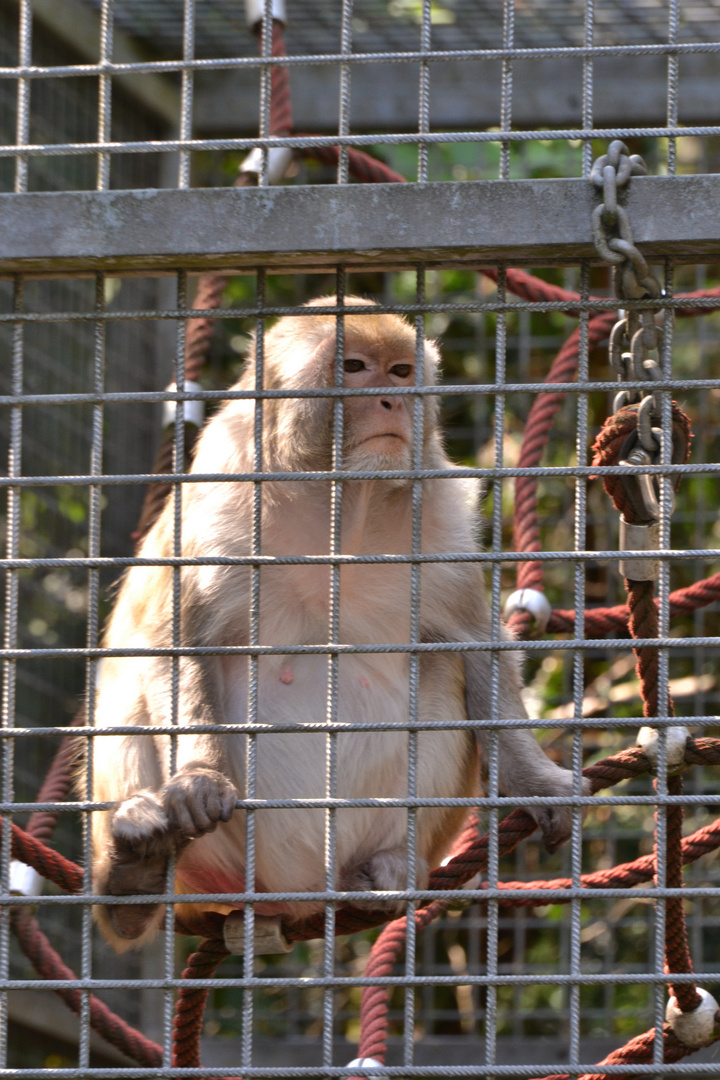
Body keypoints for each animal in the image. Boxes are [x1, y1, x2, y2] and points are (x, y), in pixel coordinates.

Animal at [91, 295, 587, 954]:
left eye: (401, 372)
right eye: (354, 367)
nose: (393, 402)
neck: (340, 502)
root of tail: (296, 898)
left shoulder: (440, 522)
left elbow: (474, 644)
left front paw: (536, 780)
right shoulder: (220, 498)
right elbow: (174, 642)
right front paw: (199, 776)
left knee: (440, 667)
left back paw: (388, 866)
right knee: (127, 685)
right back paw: (134, 880)